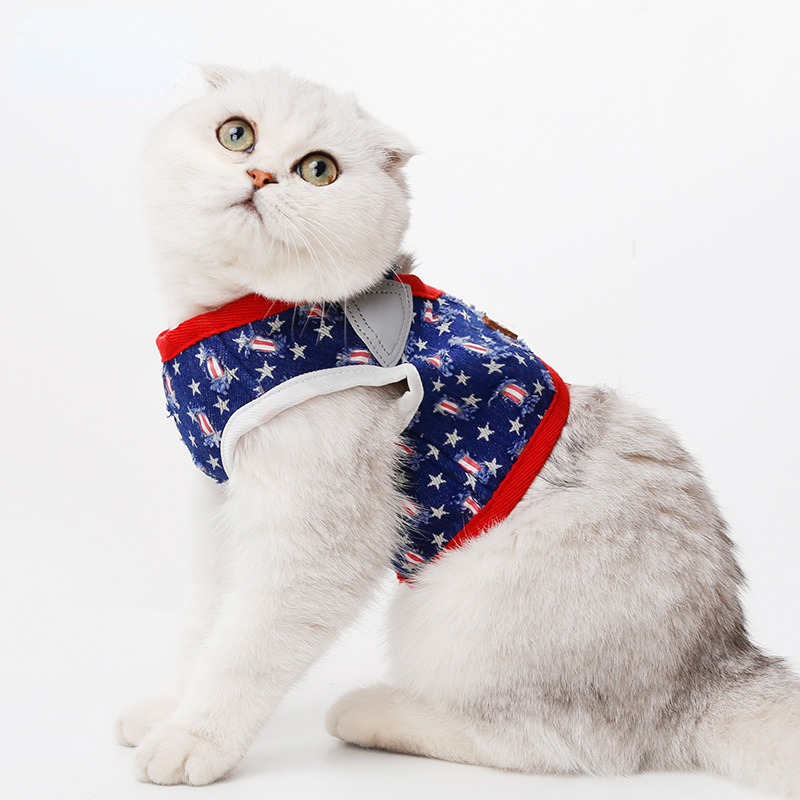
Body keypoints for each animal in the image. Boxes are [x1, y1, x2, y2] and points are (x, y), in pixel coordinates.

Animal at [116, 65, 800, 796]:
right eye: (236, 134)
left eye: (318, 170)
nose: (261, 175)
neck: (233, 319)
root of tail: (714, 668)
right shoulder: (222, 505)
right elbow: (205, 625)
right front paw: (170, 707)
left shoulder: (314, 537)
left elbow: (243, 648)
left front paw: (193, 737)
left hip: (460, 607)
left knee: (566, 744)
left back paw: (373, 713)